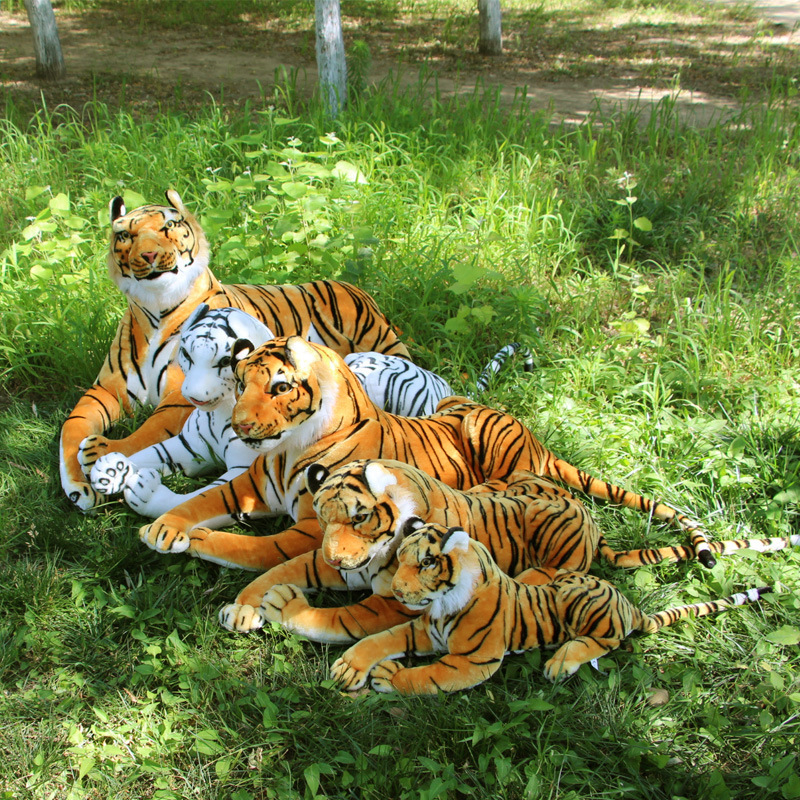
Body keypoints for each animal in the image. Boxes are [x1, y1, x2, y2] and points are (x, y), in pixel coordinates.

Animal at [59, 189, 409, 511]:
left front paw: (101, 450)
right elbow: (71, 425)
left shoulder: (177, 399)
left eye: (167, 227)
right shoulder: (106, 388)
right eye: (125, 235)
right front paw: (78, 483)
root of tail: (358, 289)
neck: (155, 309)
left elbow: (148, 432)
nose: (148, 254)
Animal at [88, 304, 466, 517]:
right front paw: (109, 469)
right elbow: (150, 452)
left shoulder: (239, 469)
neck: (217, 413)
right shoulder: (186, 446)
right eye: (186, 353)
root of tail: (439, 380)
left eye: (222, 362)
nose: (193, 396)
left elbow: (196, 497)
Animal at [138, 335, 713, 587]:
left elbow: (252, 546)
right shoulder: (249, 487)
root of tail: (535, 439)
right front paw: (166, 527)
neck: (290, 446)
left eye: (278, 387)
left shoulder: (308, 527)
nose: (238, 426)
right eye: (241, 382)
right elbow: (200, 500)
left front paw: (193, 540)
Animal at [219, 458, 799, 641]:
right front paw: (243, 608)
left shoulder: (390, 602)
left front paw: (290, 614)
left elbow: (338, 618)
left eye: (360, 517)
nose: (338, 559)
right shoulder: (327, 564)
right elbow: (275, 572)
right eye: (322, 516)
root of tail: (592, 524)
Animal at [330, 520, 773, 694]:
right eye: (401, 557)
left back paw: (559, 663)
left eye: (424, 563)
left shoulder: (472, 662)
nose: (396, 590)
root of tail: (628, 603)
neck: (443, 603)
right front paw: (351, 666)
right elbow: (380, 639)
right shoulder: (424, 629)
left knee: (605, 642)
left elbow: (426, 677)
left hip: (581, 603)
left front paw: (389, 678)